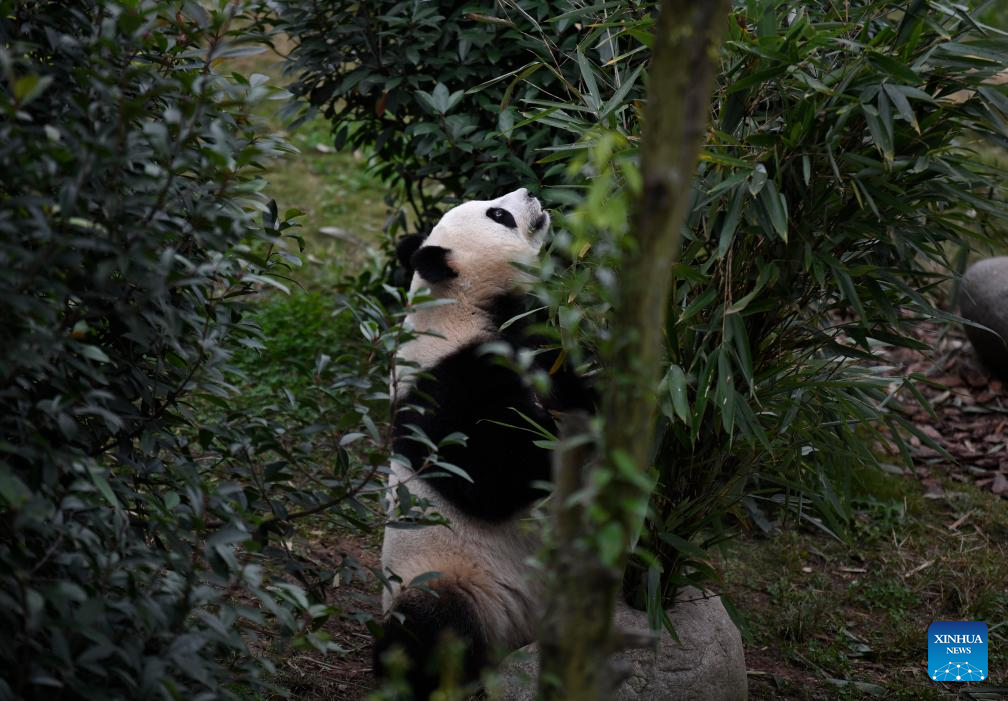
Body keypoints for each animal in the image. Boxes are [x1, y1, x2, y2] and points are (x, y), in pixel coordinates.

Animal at [373, 188, 592, 696]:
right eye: (498, 214)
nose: (531, 193)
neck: (464, 303)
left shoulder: (538, 344)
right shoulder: (448, 386)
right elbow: (490, 482)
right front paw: (549, 439)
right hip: (448, 578)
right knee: (427, 631)